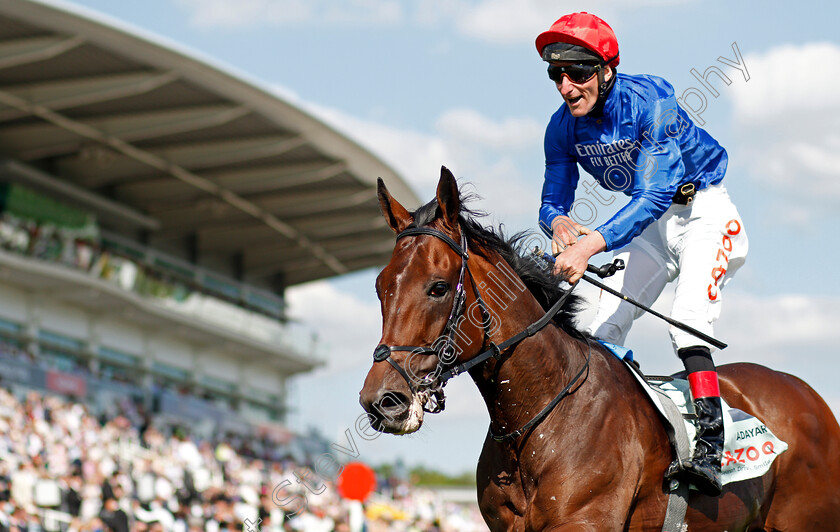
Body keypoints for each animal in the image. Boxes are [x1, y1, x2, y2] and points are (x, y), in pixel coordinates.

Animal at [358, 167, 840, 532]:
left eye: (438, 287)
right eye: (380, 287)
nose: (382, 401)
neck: (537, 417)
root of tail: (807, 395)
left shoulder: (584, 521)